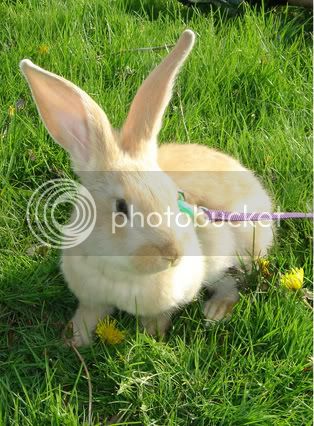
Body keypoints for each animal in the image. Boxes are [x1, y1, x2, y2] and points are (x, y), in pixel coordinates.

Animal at [20, 31, 274, 348]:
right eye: (121, 207)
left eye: (176, 197)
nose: (173, 254)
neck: (122, 272)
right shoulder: (91, 297)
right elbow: (89, 313)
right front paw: (74, 338)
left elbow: (163, 312)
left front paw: (153, 332)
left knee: (231, 285)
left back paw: (215, 311)